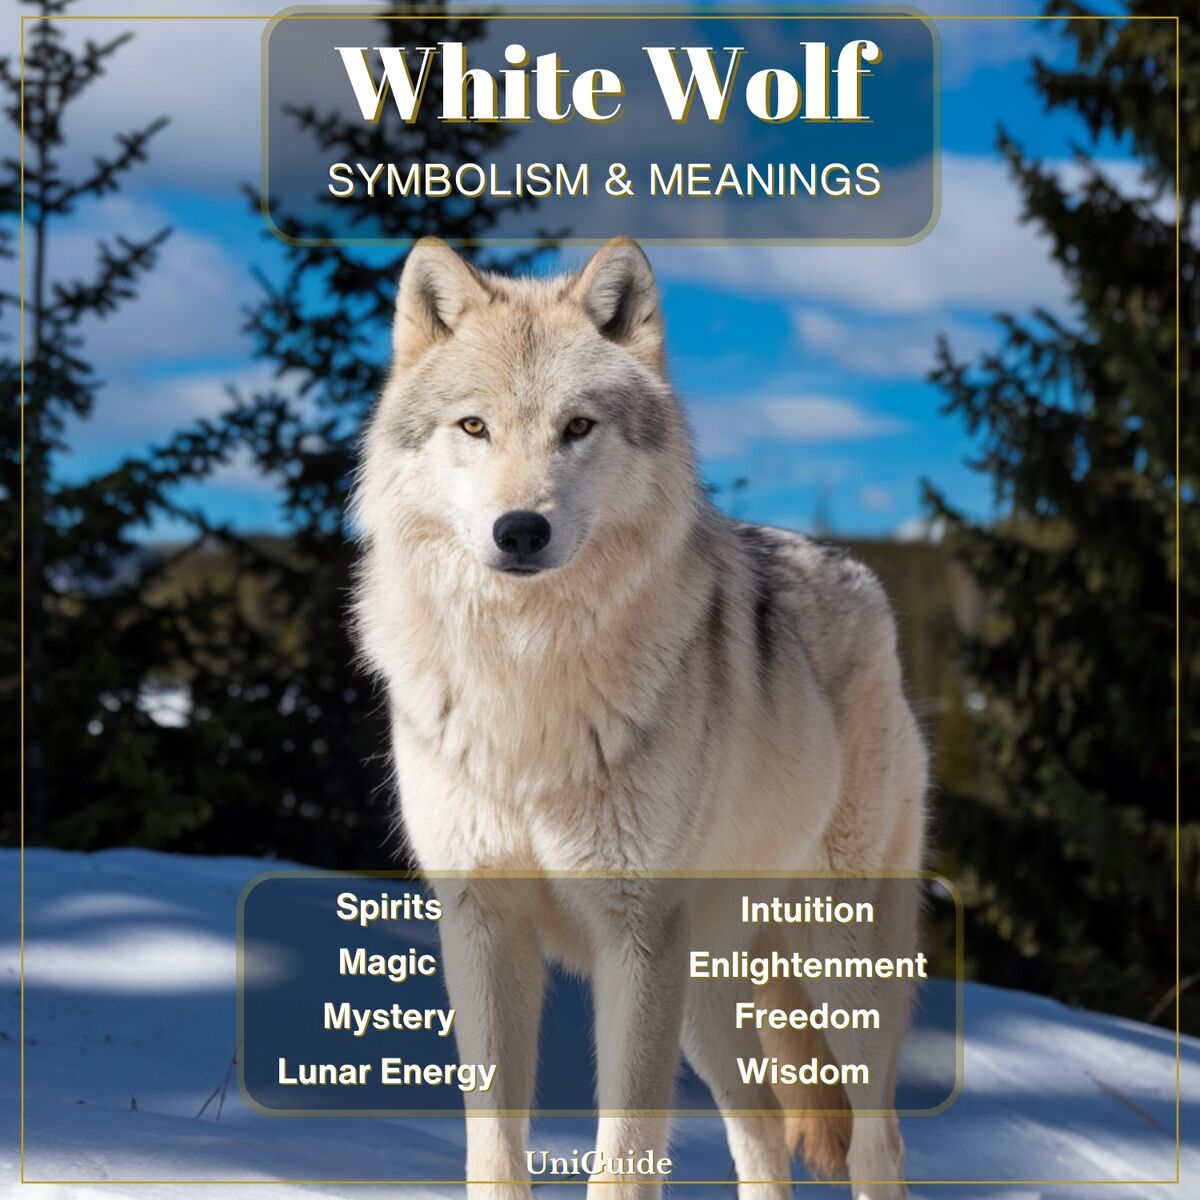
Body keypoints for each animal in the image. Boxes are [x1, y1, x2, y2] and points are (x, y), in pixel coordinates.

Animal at [351, 236, 928, 1200]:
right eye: (473, 427)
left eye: (578, 427)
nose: (520, 530)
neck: (527, 678)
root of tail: (864, 580)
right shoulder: (481, 925)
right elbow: (494, 1148)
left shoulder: (636, 936)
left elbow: (623, 1155)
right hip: (708, 999)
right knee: (762, 1136)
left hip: (835, 967)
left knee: (877, 1145)